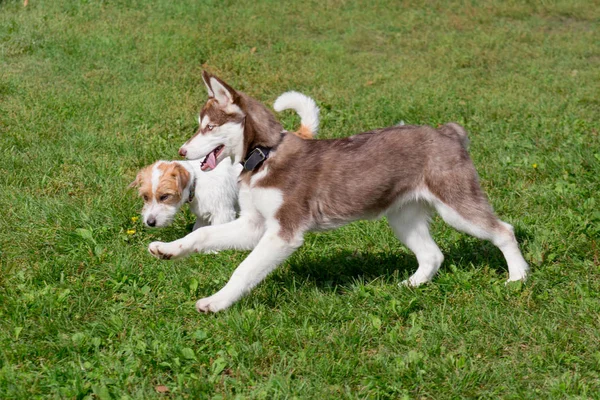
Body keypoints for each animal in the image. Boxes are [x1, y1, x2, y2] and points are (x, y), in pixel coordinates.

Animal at [149, 72, 528, 316]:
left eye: (208, 127)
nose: (182, 151)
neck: (265, 156)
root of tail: (447, 132)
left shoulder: (283, 233)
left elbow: (243, 270)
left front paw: (215, 302)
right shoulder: (254, 226)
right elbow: (203, 235)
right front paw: (168, 249)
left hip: (456, 207)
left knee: (503, 231)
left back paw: (518, 278)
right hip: (403, 218)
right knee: (433, 255)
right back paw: (410, 285)